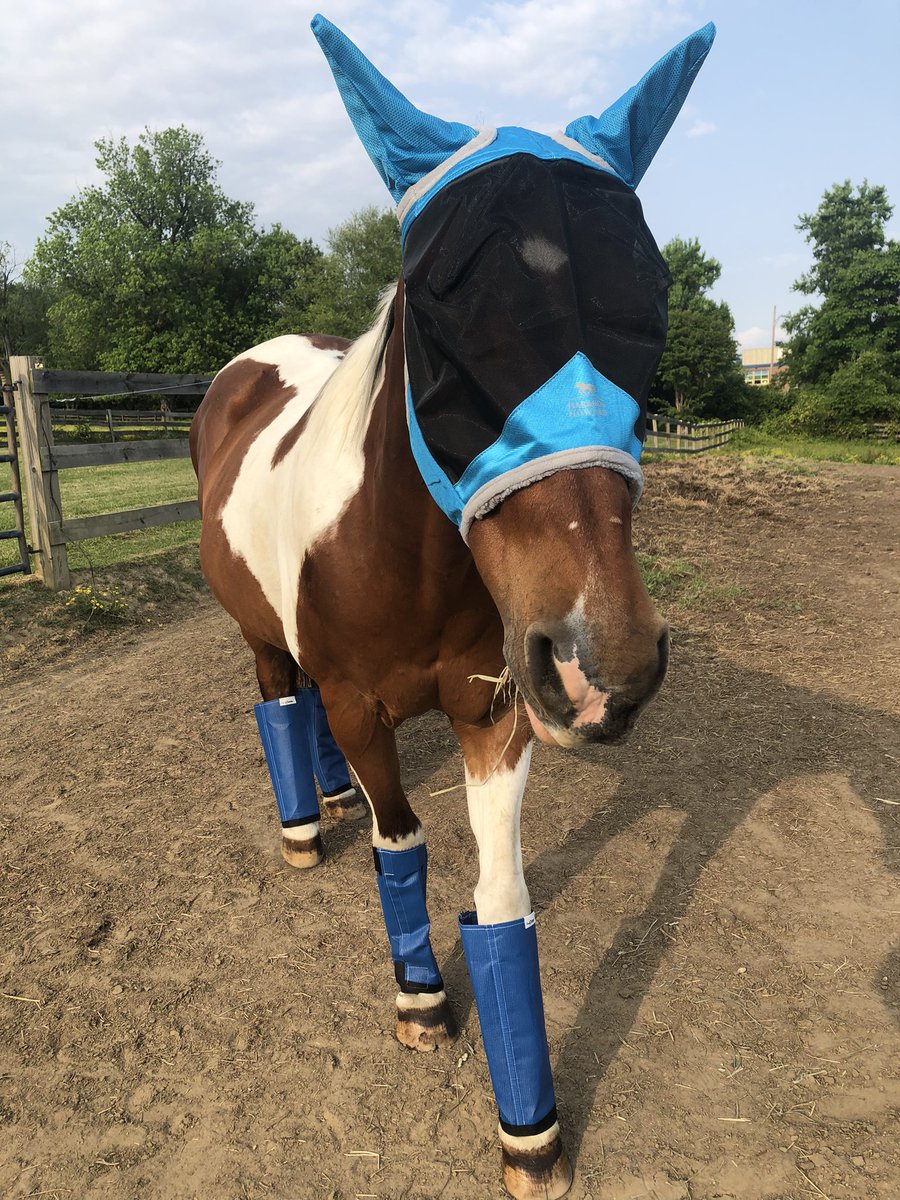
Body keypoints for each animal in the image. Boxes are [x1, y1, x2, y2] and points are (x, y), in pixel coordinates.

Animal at [190, 15, 715, 1199]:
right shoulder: (366, 705)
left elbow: (503, 898)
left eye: (648, 298)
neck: (405, 561)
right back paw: (306, 823)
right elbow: (402, 846)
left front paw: (530, 1128)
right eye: (441, 307)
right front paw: (422, 998)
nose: (604, 661)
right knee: (279, 699)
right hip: (261, 638)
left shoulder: (495, 714)